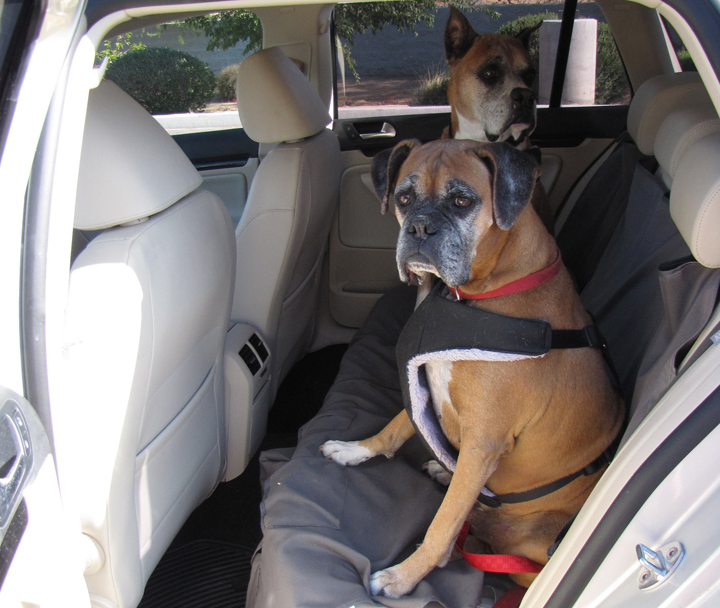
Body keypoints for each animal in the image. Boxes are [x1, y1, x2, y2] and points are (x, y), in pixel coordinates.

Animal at [320, 139, 624, 600]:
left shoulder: (484, 440)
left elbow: (443, 524)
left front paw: (404, 576)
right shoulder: (427, 382)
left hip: (530, 547)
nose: (420, 228)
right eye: (404, 199)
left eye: (462, 201)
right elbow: (395, 426)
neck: (479, 293)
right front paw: (358, 449)